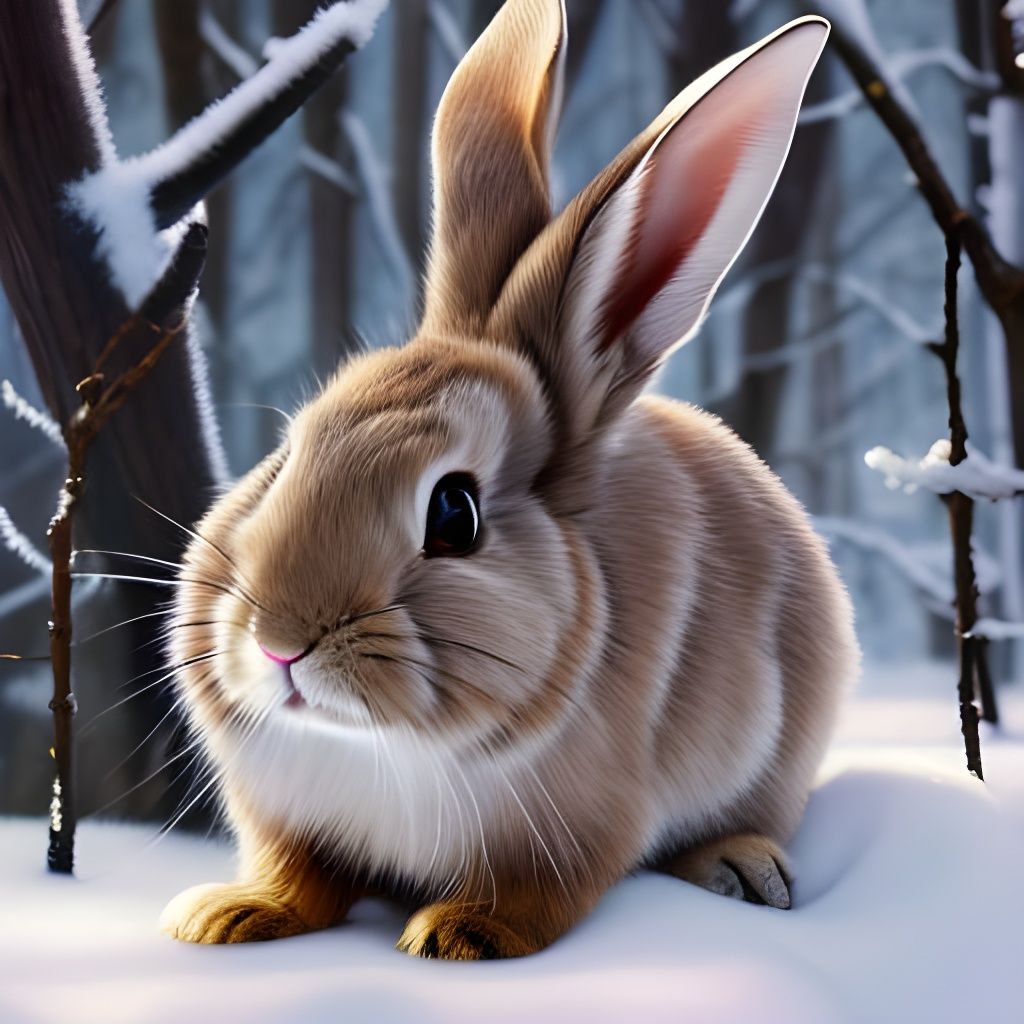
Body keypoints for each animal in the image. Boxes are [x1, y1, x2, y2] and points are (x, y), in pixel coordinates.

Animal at [160, 0, 858, 960]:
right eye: (287, 455)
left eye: (454, 512)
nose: (280, 641)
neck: (385, 747)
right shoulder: (287, 817)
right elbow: (298, 876)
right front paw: (226, 915)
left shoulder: (582, 826)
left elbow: (538, 897)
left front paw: (459, 935)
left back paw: (744, 868)